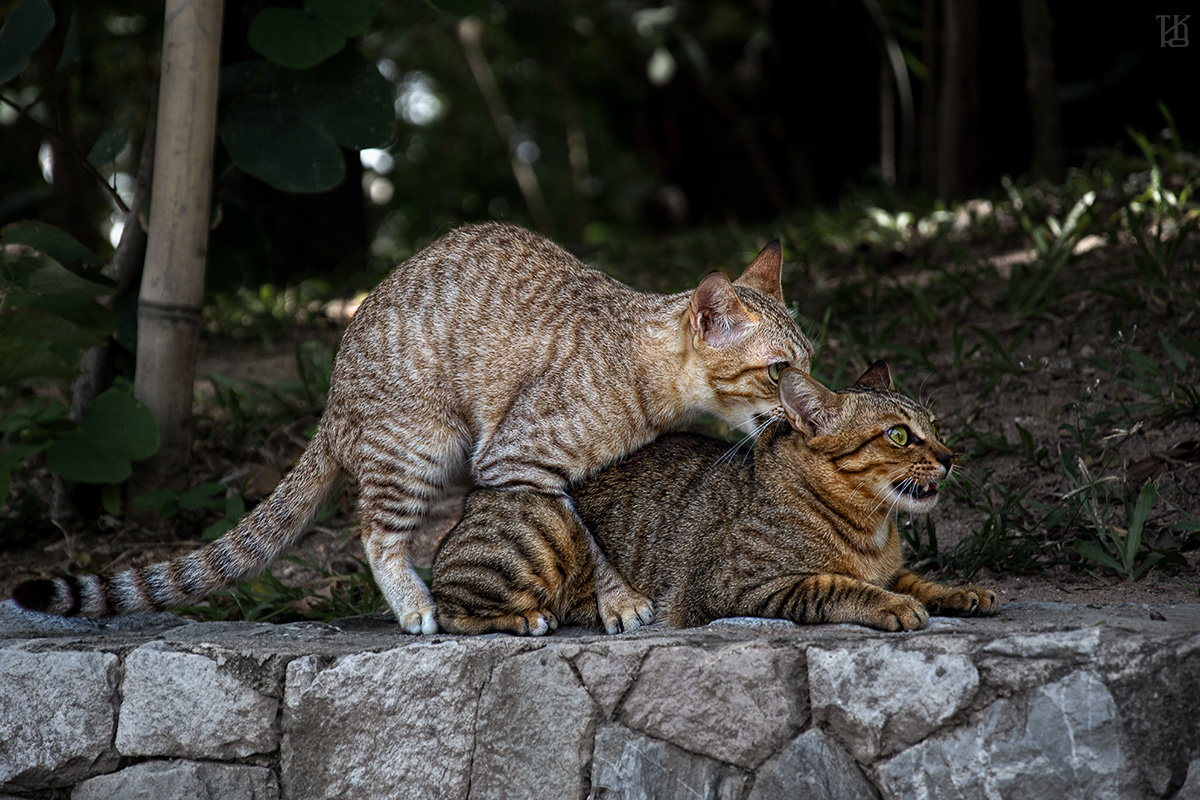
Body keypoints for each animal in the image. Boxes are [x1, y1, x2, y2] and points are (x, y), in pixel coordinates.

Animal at [9, 221, 811, 633]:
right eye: (777, 369)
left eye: (807, 361)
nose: (807, 400)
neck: (638, 362)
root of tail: (334, 396)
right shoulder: (516, 459)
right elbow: (583, 535)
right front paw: (618, 600)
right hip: (419, 448)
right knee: (375, 532)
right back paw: (417, 604)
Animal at [432, 364, 993, 638]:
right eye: (899, 436)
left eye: (935, 426)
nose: (950, 455)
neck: (872, 531)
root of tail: (479, 494)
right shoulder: (740, 585)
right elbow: (836, 586)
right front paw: (893, 605)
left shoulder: (891, 567)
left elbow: (917, 579)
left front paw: (959, 591)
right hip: (543, 544)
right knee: (447, 608)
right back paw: (525, 618)